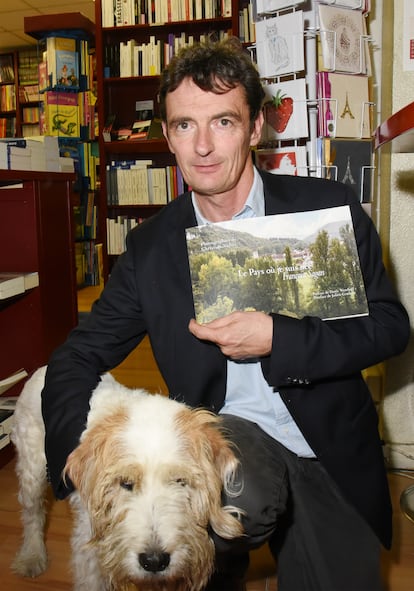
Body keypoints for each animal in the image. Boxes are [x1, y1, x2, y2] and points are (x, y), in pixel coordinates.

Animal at [11, 368, 244, 588]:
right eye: (125, 483)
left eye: (180, 481)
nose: (154, 561)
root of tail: (43, 368)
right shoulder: (89, 545)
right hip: (33, 472)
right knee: (32, 513)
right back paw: (32, 556)